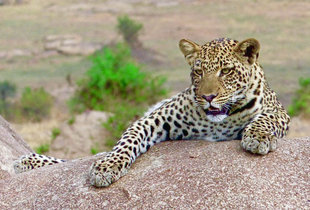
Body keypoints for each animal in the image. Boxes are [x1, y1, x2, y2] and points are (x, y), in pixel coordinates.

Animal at [13, 37, 290, 187]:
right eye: (198, 72)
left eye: (226, 71)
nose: (207, 97)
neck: (217, 122)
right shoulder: (157, 118)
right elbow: (128, 140)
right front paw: (107, 168)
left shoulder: (279, 112)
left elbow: (267, 118)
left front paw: (257, 138)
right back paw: (27, 162)